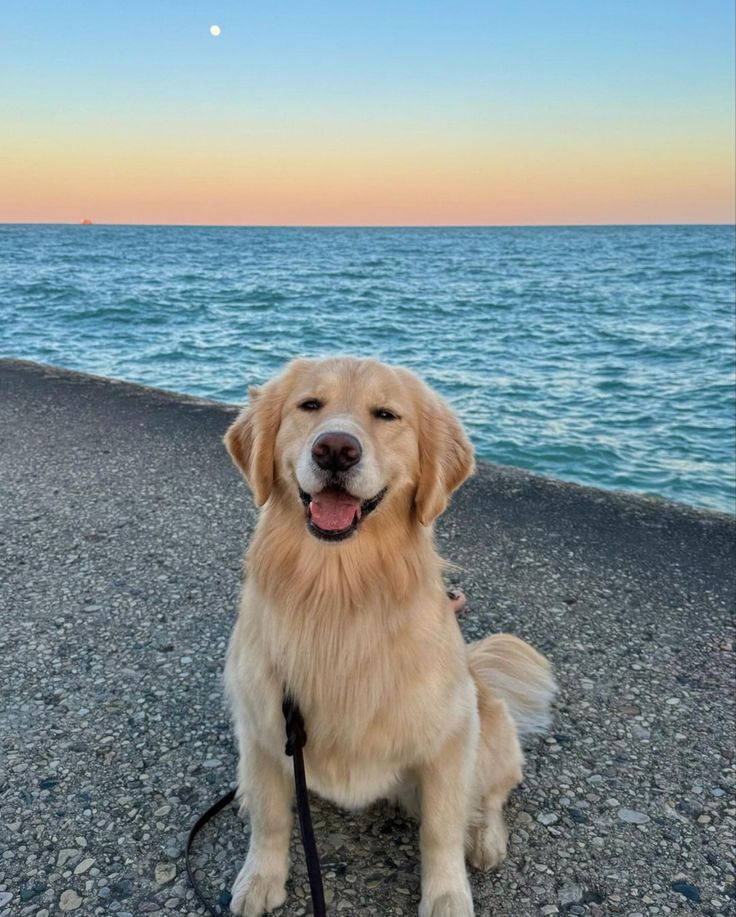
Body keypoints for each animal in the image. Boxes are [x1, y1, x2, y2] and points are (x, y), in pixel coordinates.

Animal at [221, 354, 556, 912]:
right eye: (310, 404)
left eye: (386, 415)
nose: (335, 449)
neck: (337, 592)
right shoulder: (266, 730)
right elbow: (271, 817)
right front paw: (260, 878)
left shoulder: (449, 738)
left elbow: (441, 829)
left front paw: (447, 897)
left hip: (487, 730)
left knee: (491, 794)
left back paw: (485, 837)